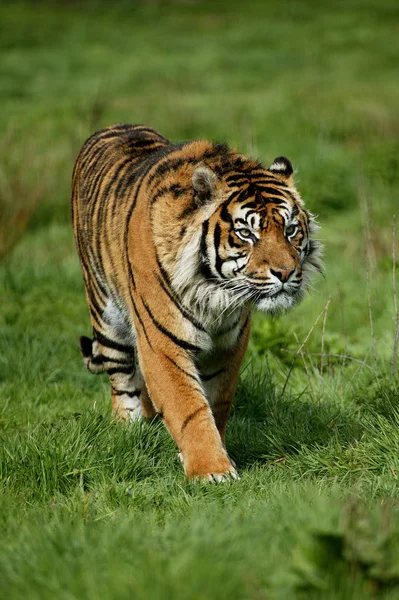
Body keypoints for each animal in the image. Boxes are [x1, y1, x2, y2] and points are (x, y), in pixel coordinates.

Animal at [71, 123, 322, 482]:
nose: (285, 273)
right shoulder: (163, 344)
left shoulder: (228, 346)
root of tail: (113, 127)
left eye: (290, 230)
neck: (214, 292)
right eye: (246, 234)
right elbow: (187, 406)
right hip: (107, 317)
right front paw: (211, 470)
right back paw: (130, 433)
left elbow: (216, 403)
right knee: (122, 384)